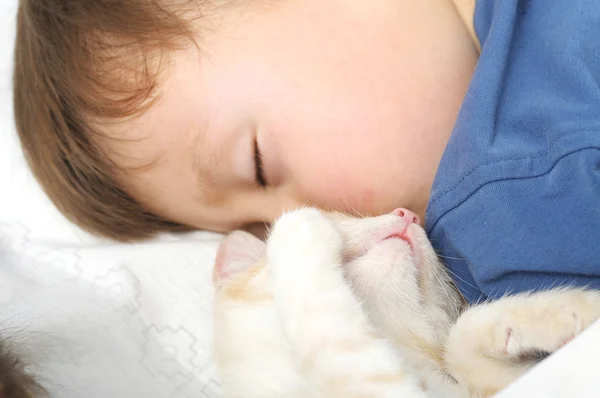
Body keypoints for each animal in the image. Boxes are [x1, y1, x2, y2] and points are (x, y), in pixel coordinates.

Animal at [213, 208, 600, 398]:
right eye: (341, 217)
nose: (407, 213)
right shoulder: (369, 383)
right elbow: (330, 333)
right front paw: (300, 225)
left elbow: (461, 336)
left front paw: (568, 310)